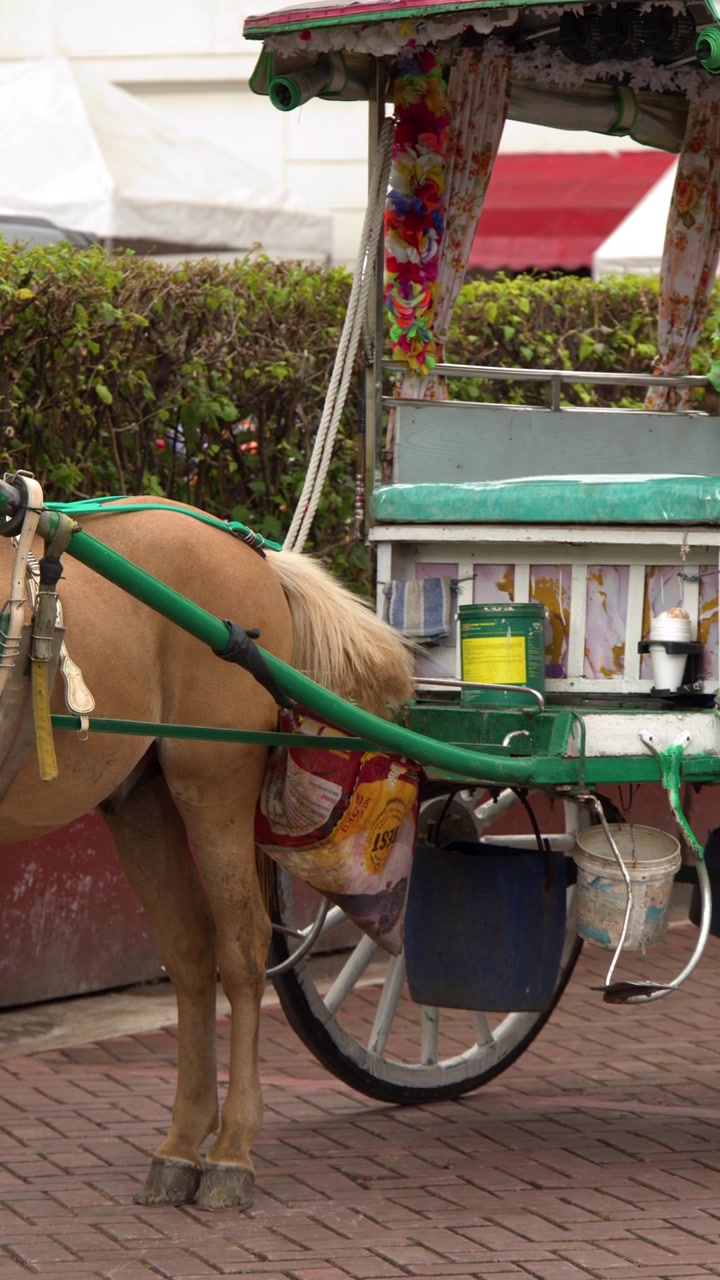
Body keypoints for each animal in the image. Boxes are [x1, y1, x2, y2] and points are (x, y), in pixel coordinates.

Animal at [0, 496, 414, 1211]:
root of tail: (245, 547)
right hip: (140, 796)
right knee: (191, 951)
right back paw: (181, 1144)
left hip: (213, 780)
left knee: (242, 947)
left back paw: (230, 1152)